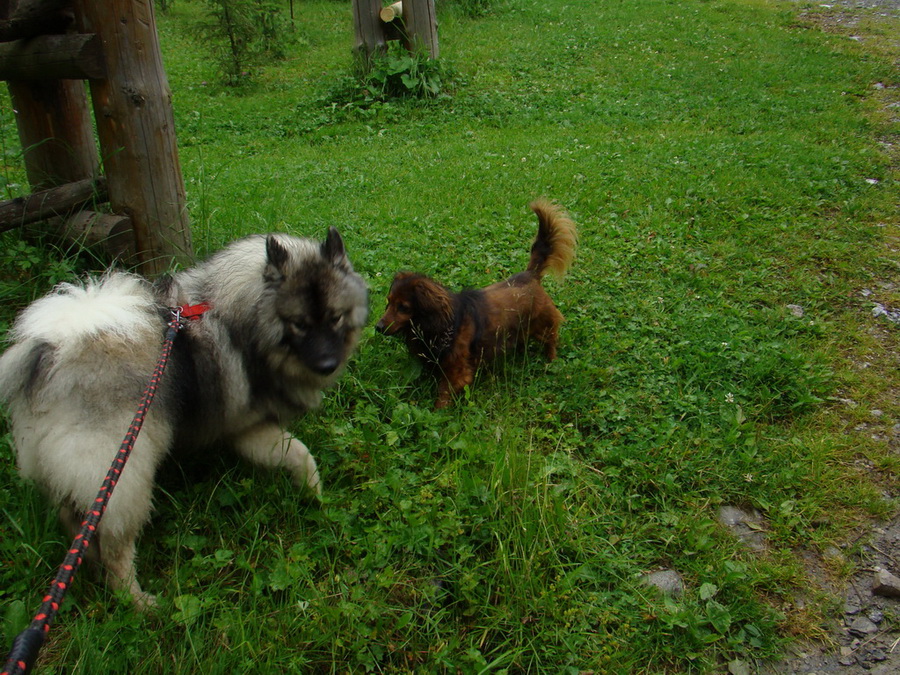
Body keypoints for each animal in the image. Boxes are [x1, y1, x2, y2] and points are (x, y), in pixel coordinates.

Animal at [0, 230, 370, 608]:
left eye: (336, 317)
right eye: (299, 324)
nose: (327, 364)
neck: (241, 316)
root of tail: (50, 354)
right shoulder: (248, 429)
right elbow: (300, 454)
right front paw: (316, 494)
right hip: (122, 473)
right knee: (116, 547)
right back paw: (137, 602)